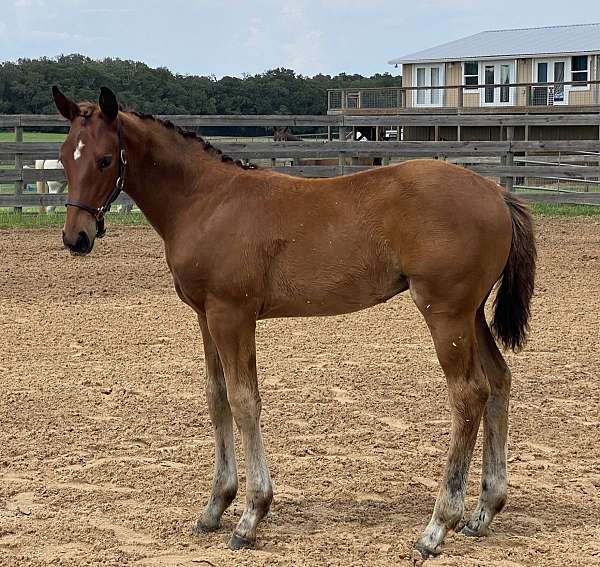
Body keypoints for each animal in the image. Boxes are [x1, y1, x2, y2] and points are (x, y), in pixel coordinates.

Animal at [54, 86, 536, 556]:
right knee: (498, 382)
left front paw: (250, 517)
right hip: (472, 314)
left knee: (468, 394)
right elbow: (216, 398)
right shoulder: (206, 316)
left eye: (105, 159)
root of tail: (497, 193)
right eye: (63, 156)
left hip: (446, 314)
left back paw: (437, 527)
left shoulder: (233, 315)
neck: (206, 201)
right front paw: (214, 508)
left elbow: (244, 401)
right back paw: (483, 512)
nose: (76, 238)